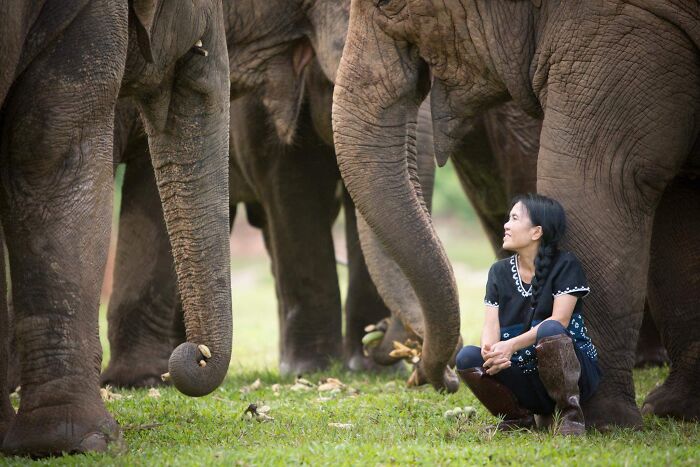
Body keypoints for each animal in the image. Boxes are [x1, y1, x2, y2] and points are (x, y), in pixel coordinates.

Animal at [333, 0, 699, 427]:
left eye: (387, 5)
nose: (428, 375)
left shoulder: (625, 25)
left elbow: (598, 179)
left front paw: (605, 423)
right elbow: (677, 202)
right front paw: (672, 410)